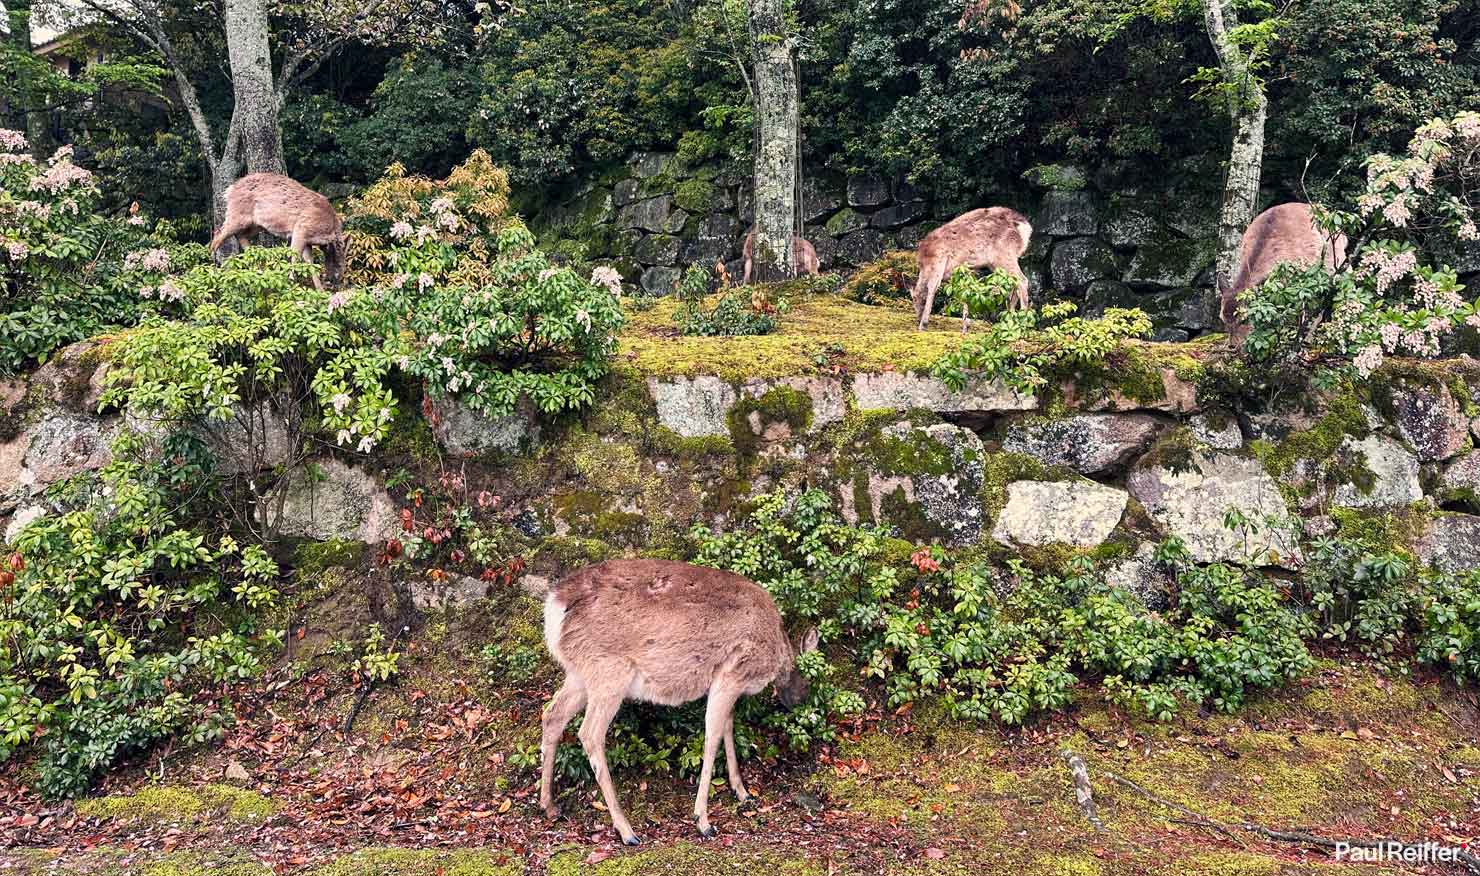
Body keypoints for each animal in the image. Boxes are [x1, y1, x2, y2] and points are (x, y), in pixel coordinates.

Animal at [208, 171, 346, 291]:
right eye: (339, 263)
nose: (336, 280)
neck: (329, 228)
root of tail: (230, 190)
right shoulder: (301, 228)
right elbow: (295, 256)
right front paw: (290, 283)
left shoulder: (307, 239)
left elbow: (309, 262)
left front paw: (320, 290)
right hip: (237, 215)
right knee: (218, 235)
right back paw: (212, 268)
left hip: (256, 224)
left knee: (239, 235)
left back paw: (256, 264)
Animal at [538, 556, 822, 846]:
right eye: (810, 682)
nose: (801, 702)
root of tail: (555, 606)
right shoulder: (732, 672)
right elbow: (713, 736)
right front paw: (703, 820)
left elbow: (728, 726)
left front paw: (742, 791)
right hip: (608, 670)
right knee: (589, 733)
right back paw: (626, 830)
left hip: (579, 673)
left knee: (552, 715)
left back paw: (549, 805)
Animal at [905, 207, 1036, 329]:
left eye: (914, 299)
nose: (918, 318)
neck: (925, 262)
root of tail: (1025, 228)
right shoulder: (964, 270)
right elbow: (965, 291)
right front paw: (966, 323)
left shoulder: (938, 261)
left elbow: (932, 287)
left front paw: (924, 324)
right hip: (998, 262)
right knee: (1013, 285)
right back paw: (1008, 319)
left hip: (1004, 255)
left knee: (1022, 280)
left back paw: (1023, 321)